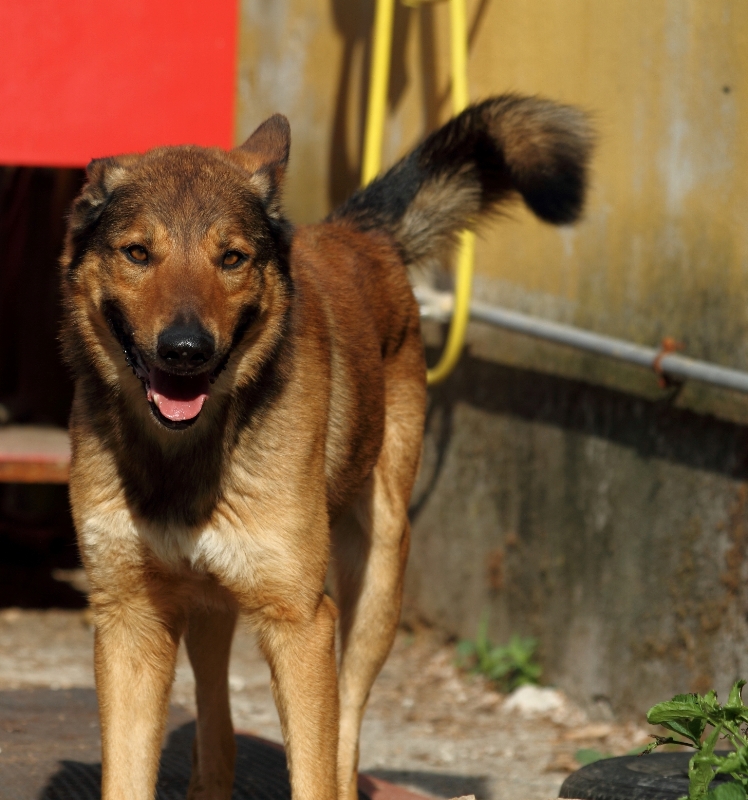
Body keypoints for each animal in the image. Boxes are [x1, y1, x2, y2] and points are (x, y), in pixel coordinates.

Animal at [61, 95, 592, 800]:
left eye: (232, 259)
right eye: (138, 253)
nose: (185, 350)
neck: (185, 455)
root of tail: (357, 232)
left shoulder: (302, 622)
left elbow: (314, 767)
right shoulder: (128, 621)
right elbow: (129, 773)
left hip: (376, 579)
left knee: (344, 736)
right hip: (212, 603)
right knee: (217, 717)